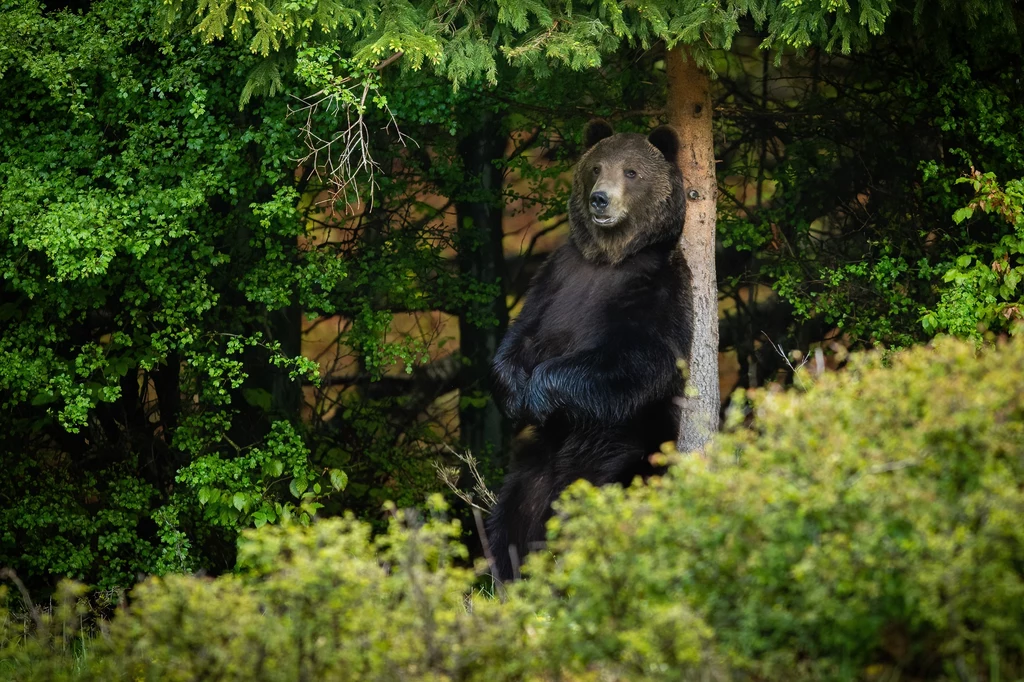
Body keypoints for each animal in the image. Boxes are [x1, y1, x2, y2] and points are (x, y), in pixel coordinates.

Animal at [487, 119, 696, 577]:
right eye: (596, 167)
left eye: (632, 171)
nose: (600, 198)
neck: (610, 258)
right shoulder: (557, 277)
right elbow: (519, 338)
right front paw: (515, 393)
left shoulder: (659, 287)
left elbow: (638, 359)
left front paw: (538, 391)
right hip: (536, 467)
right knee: (513, 518)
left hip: (628, 446)